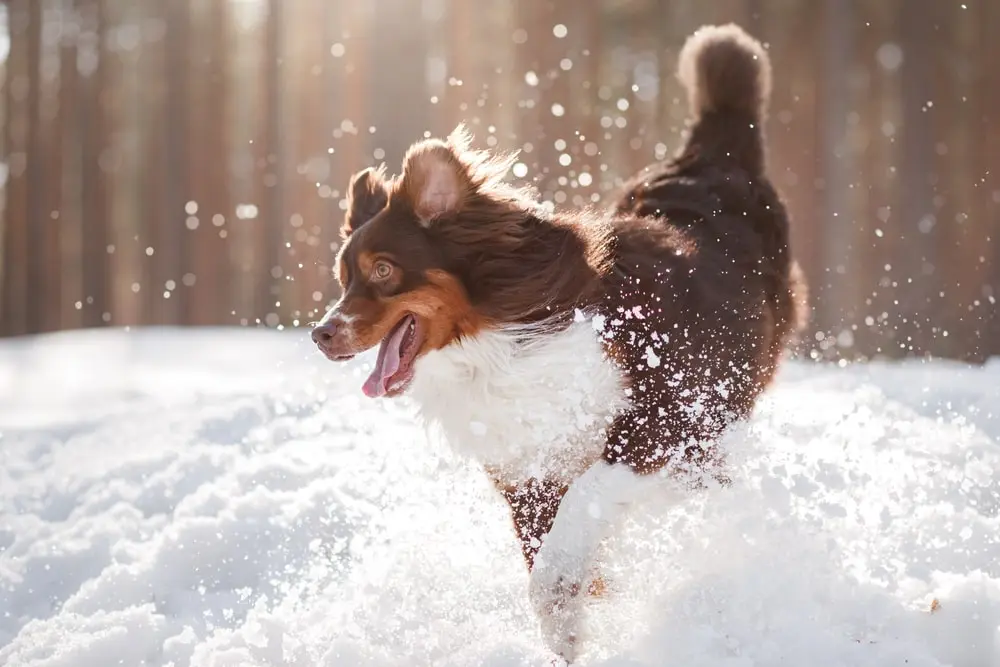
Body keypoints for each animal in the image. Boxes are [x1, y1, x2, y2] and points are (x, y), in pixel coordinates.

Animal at [316, 24, 808, 664]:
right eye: (342, 276)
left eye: (381, 271)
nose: (321, 334)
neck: (501, 342)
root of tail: (712, 156)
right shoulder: (527, 474)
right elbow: (548, 554)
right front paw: (573, 623)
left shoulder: (663, 420)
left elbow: (573, 527)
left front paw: (569, 605)